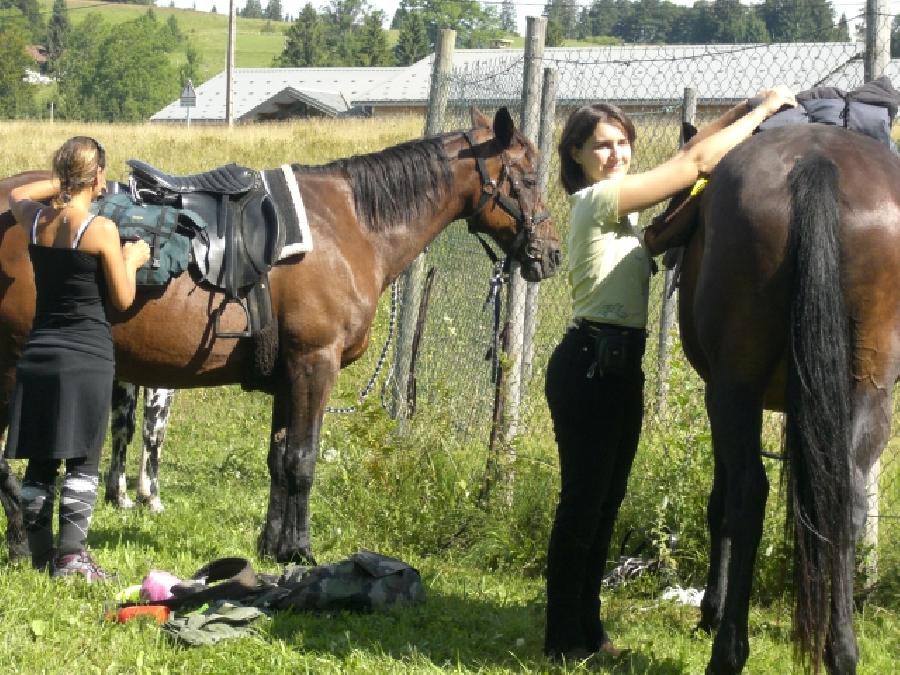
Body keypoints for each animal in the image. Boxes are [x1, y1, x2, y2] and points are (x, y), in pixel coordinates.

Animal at [0, 109, 564, 564]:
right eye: (528, 176)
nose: (551, 253)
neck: (351, 225)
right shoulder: (315, 365)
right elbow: (302, 461)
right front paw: (299, 551)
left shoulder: (288, 375)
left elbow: (277, 459)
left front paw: (271, 546)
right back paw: (23, 544)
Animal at [676, 124, 900, 672]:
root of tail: (817, 164)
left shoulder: (721, 395)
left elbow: (720, 503)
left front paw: (711, 610)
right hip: (869, 387)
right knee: (847, 498)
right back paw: (841, 649)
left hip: (735, 390)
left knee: (747, 496)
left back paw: (727, 650)